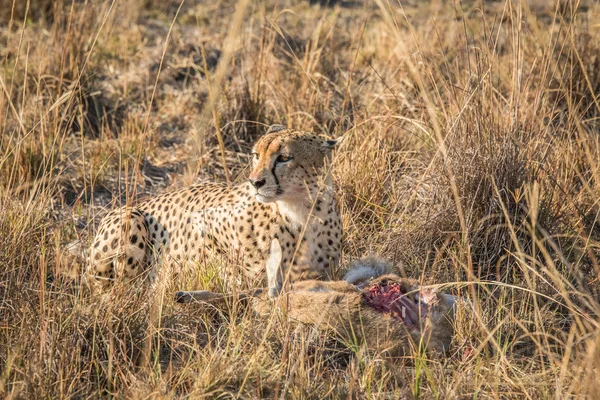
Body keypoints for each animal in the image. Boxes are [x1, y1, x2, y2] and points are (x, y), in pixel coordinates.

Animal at [82, 125, 342, 294]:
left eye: (284, 158)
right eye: (256, 155)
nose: (255, 182)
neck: (301, 210)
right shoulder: (204, 224)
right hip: (130, 218)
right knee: (109, 290)